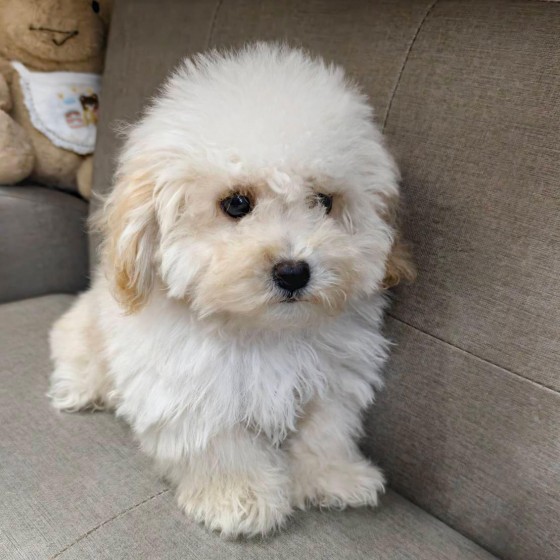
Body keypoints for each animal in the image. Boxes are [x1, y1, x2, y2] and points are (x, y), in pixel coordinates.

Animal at [49, 43, 415, 537]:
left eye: (324, 201)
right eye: (237, 204)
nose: (294, 271)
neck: (262, 331)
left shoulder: (333, 371)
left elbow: (326, 426)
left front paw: (332, 476)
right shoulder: (189, 383)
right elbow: (217, 441)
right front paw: (240, 497)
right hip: (85, 330)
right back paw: (82, 389)